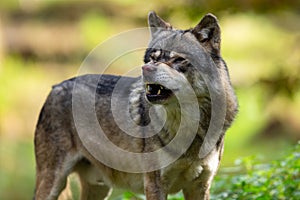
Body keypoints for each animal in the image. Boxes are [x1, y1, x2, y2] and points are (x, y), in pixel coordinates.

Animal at [34, 11, 238, 200]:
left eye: (178, 59)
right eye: (152, 58)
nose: (146, 69)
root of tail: (56, 87)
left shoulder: (200, 186)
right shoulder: (155, 185)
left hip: (98, 188)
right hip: (53, 183)